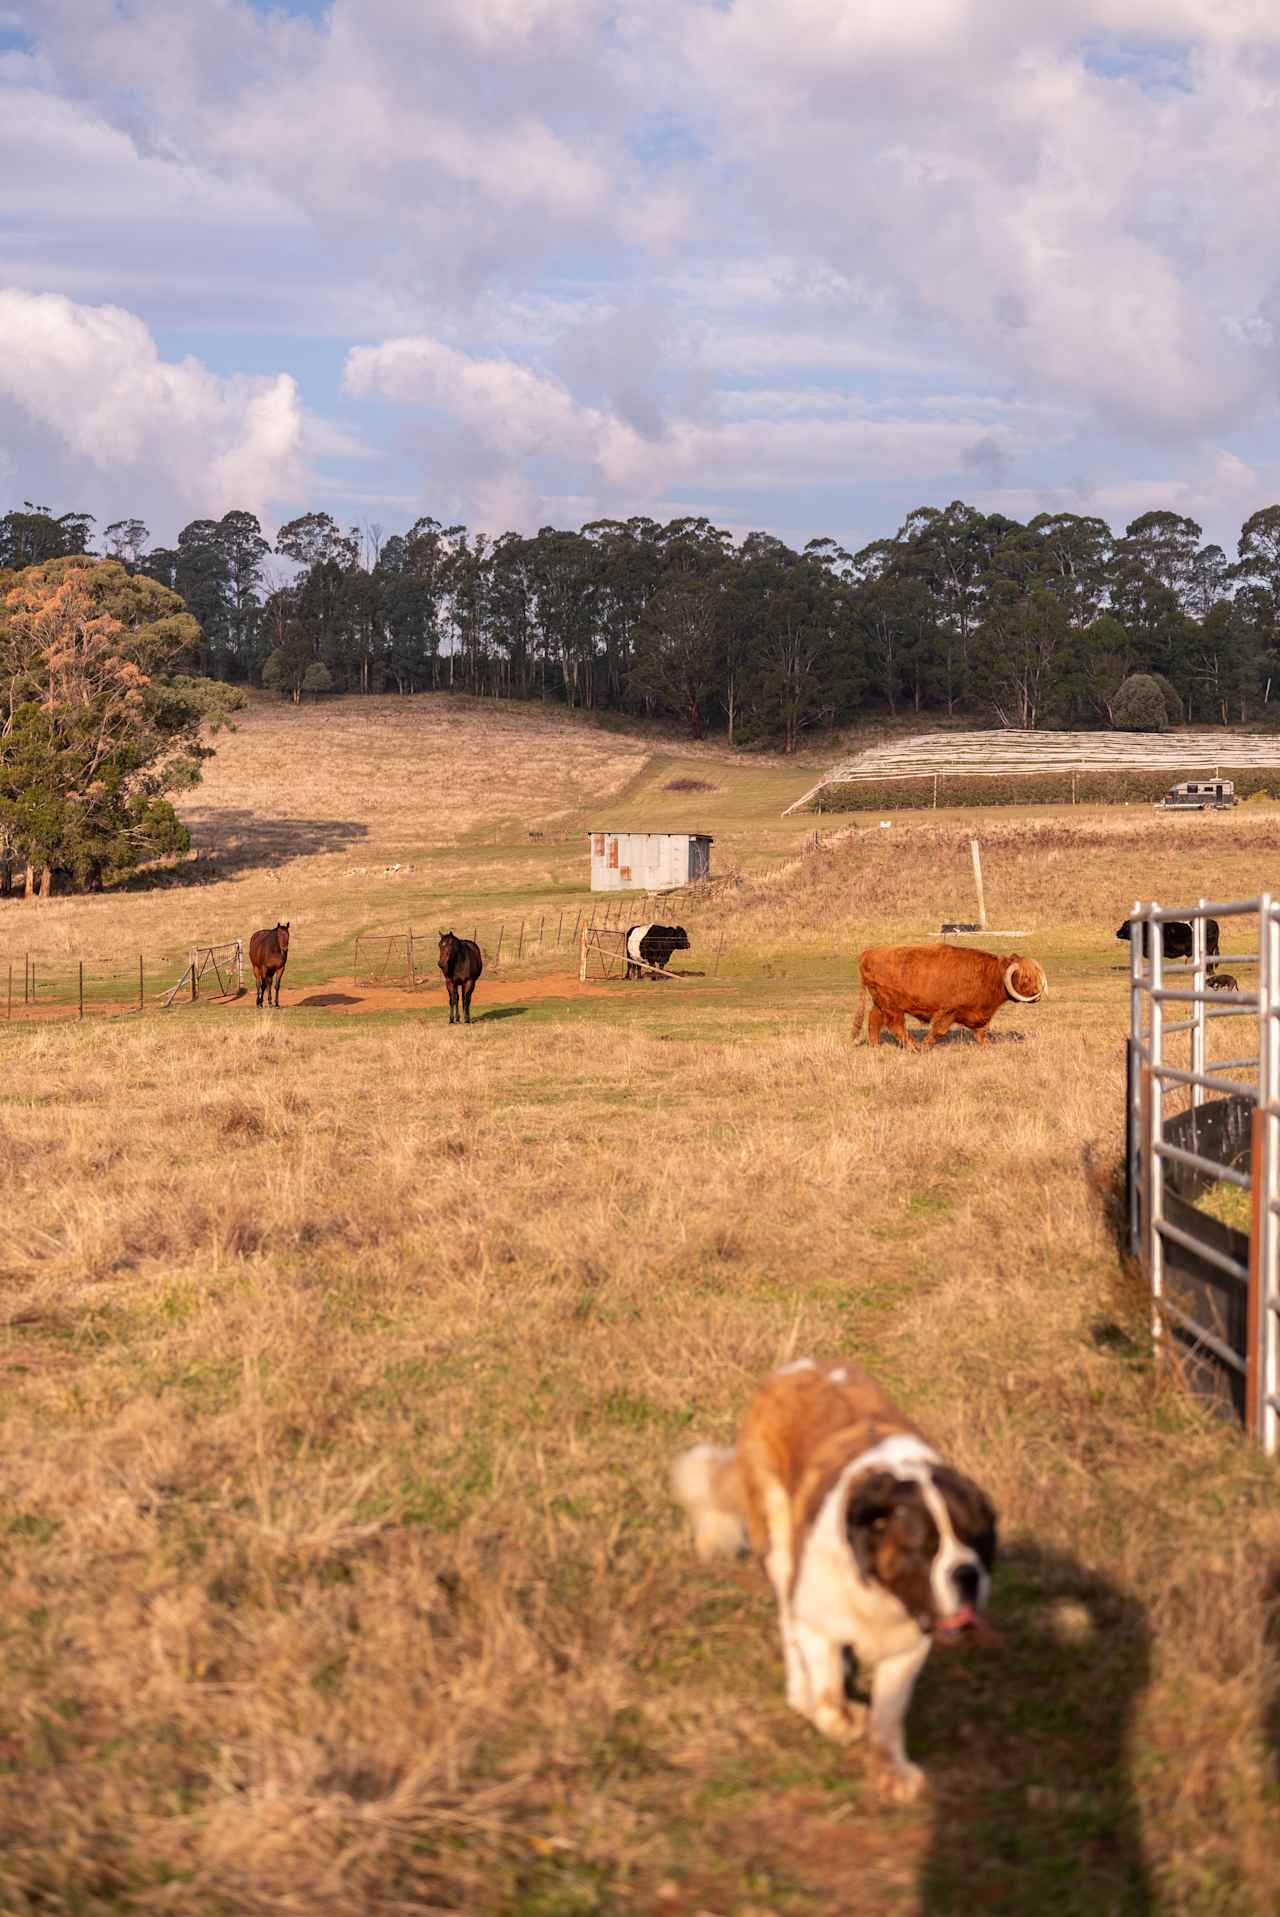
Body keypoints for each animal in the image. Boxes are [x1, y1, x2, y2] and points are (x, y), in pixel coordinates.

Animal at [670, 1349, 996, 1794]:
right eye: (924, 1548)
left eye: (977, 1541)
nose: (967, 1574)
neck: (878, 1592)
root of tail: (798, 1367)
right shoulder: (817, 1625)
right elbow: (828, 1701)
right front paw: (846, 1718)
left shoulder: (907, 1649)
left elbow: (889, 1714)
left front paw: (891, 1771)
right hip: (777, 1533)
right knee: (788, 1622)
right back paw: (802, 1691)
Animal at [850, 939, 1050, 1050]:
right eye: (1025, 977)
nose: (1037, 995)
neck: (990, 975)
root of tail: (868, 953)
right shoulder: (948, 1010)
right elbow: (938, 1030)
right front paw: (925, 1046)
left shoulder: (978, 1015)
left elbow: (981, 1033)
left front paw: (987, 1048)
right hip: (892, 1005)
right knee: (895, 1025)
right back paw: (913, 1047)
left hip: (880, 1003)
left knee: (874, 1019)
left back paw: (875, 1046)